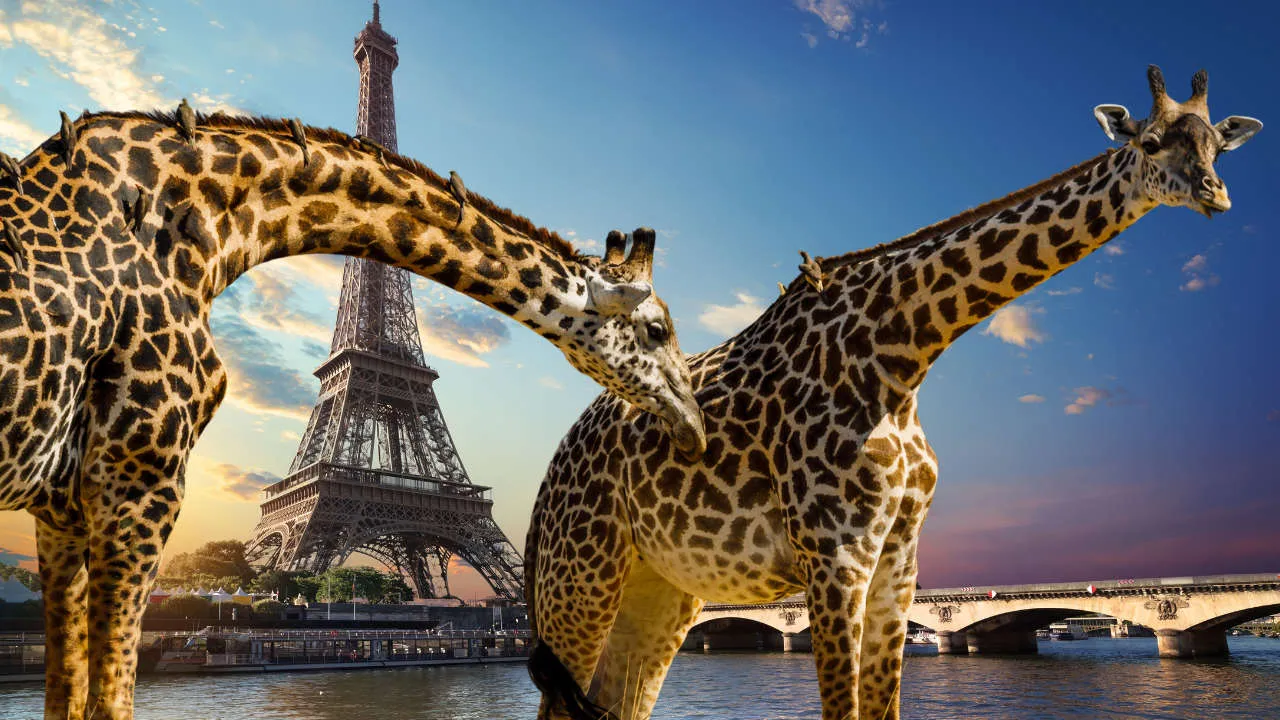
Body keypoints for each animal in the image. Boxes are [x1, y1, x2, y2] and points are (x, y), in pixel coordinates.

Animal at [0, 107, 707, 720]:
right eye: (656, 328)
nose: (695, 425)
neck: (202, 225)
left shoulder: (69, 506)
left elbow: (69, 687)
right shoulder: (139, 484)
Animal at [525, 65, 1262, 720]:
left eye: (1216, 144)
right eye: (1149, 142)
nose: (1216, 192)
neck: (905, 352)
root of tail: (555, 461)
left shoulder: (898, 563)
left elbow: (884, 706)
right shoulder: (834, 559)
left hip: (662, 589)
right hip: (580, 575)